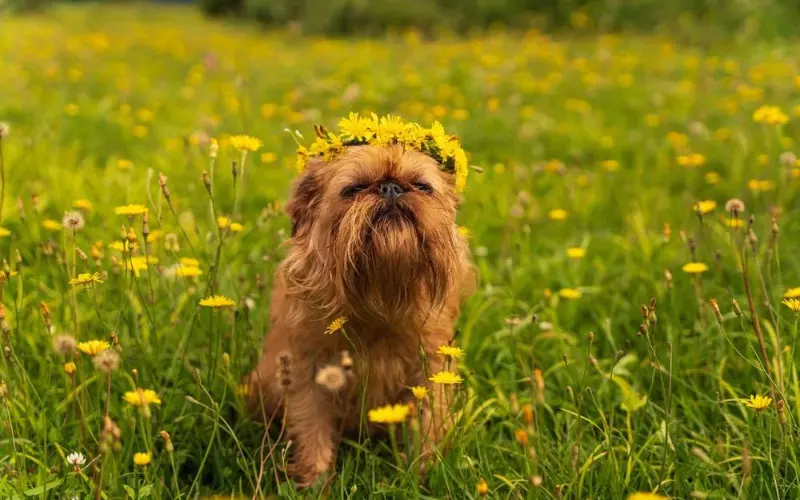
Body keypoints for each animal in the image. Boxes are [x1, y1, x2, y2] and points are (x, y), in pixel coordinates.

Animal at [248, 143, 476, 486]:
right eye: (353, 190)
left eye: (422, 186)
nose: (391, 188)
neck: (379, 297)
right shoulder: (308, 373)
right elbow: (312, 429)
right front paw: (315, 483)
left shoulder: (430, 371)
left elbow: (428, 422)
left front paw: (422, 475)